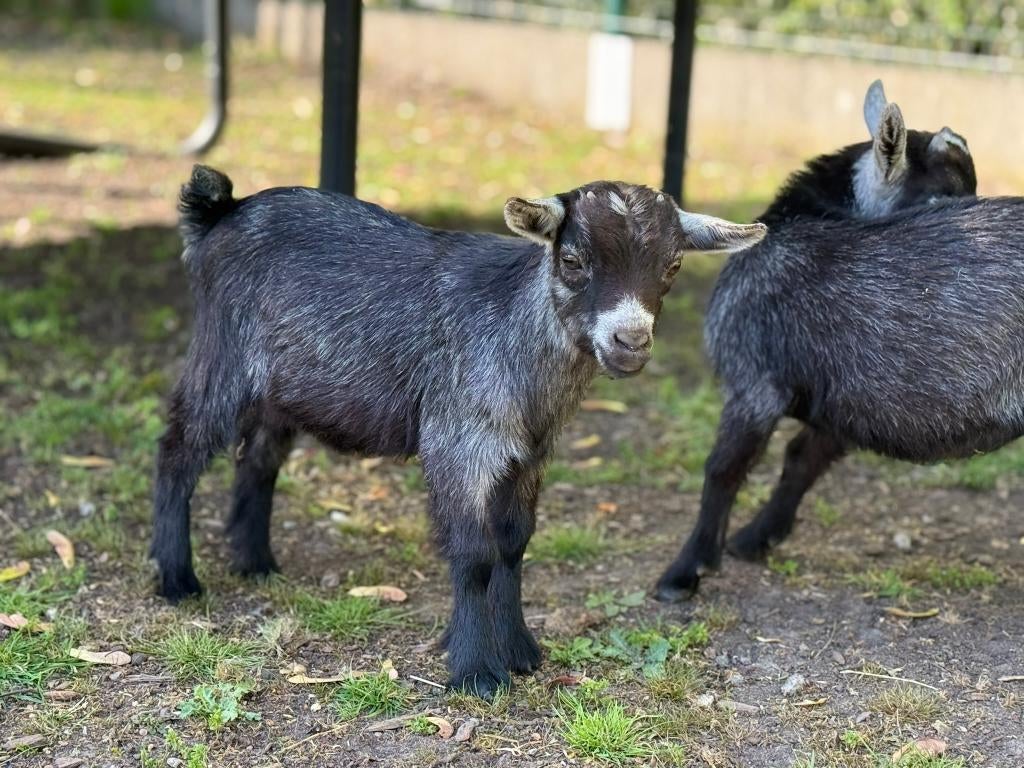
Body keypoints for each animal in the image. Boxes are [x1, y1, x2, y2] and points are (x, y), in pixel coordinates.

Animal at [151, 165, 766, 696]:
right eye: (572, 258)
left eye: (673, 266)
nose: (630, 342)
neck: (514, 328)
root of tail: (221, 212)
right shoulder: (459, 444)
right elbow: (473, 553)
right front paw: (474, 671)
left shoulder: (530, 454)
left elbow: (514, 541)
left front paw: (518, 650)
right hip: (224, 360)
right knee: (178, 450)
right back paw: (177, 579)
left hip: (283, 393)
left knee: (258, 459)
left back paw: (256, 563)